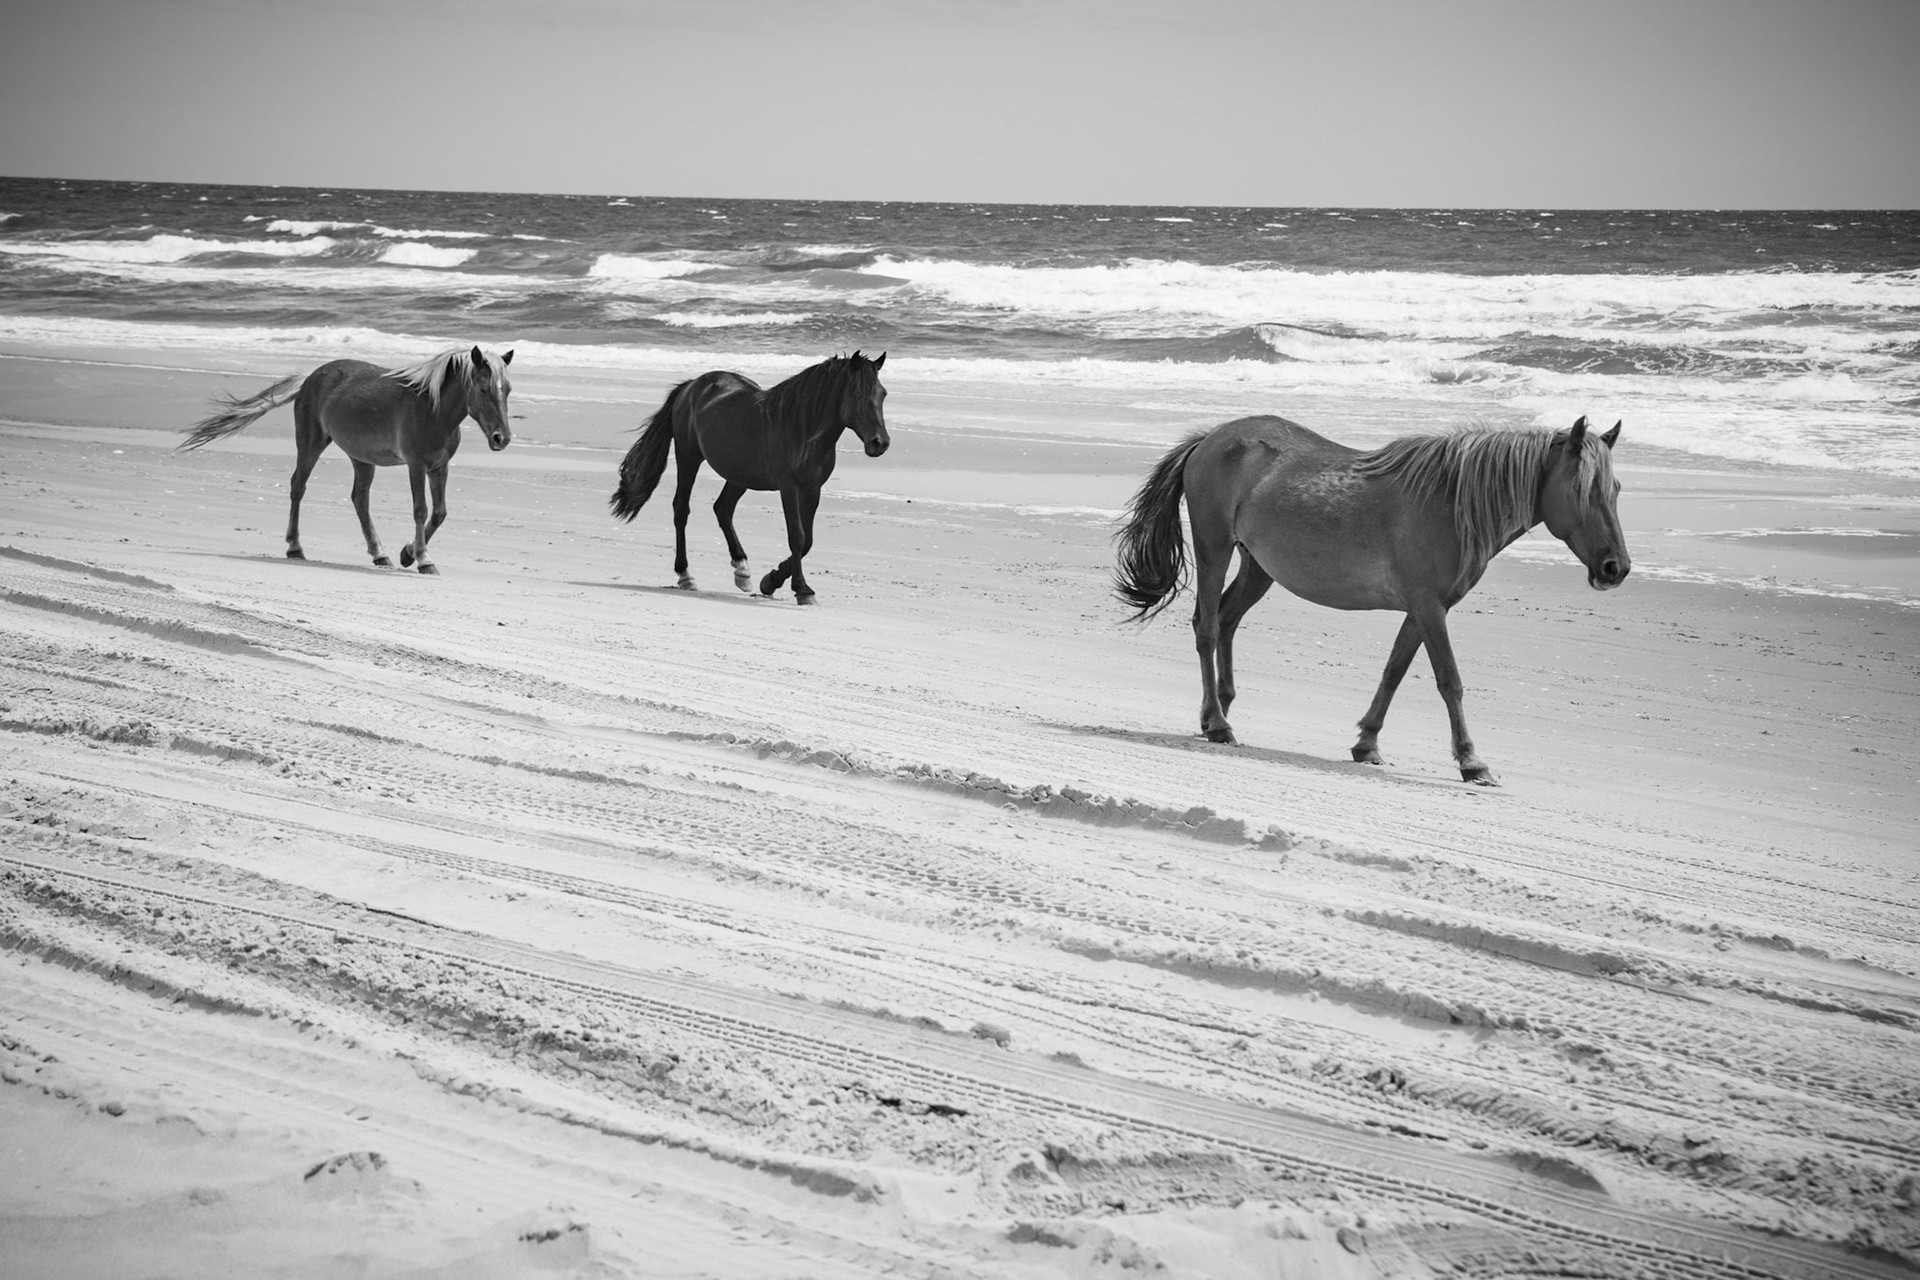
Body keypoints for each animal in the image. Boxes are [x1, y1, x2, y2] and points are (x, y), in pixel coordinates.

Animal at [179, 346, 514, 574]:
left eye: (508, 389)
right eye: (483, 388)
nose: (502, 438)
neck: (432, 409)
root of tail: (311, 377)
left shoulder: (439, 467)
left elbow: (440, 513)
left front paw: (407, 554)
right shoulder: (416, 466)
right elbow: (420, 510)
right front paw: (423, 560)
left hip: (361, 458)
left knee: (359, 499)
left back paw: (380, 554)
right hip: (311, 444)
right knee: (298, 487)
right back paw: (295, 547)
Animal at [609, 351, 889, 604]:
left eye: (883, 394)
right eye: (857, 395)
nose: (880, 443)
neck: (803, 429)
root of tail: (691, 386)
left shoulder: (812, 489)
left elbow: (807, 540)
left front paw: (771, 581)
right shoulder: (789, 487)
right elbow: (797, 537)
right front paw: (802, 589)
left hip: (738, 474)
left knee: (722, 509)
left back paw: (742, 570)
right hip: (688, 458)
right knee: (681, 509)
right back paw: (685, 575)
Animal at [1114, 415, 1628, 785]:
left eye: (1616, 489)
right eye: (1581, 489)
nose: (1616, 568)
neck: (1450, 503)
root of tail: (1211, 438)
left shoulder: (1422, 611)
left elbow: (1394, 673)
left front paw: (1367, 744)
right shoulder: (1429, 608)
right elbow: (1450, 682)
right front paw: (1471, 761)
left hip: (1257, 568)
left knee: (1224, 620)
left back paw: (1214, 714)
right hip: (1214, 548)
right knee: (1205, 627)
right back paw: (1219, 724)